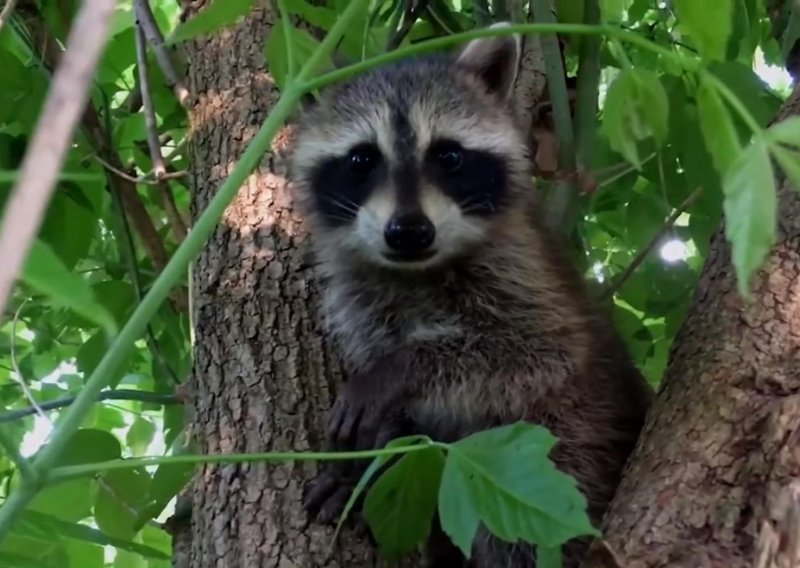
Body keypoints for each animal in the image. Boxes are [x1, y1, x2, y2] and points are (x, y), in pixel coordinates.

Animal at [284, 23, 652, 568]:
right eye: (361, 159)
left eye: (449, 156)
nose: (409, 231)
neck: (416, 272)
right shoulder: (363, 299)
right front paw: (375, 456)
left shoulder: (523, 273)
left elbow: (538, 353)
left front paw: (401, 369)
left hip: (578, 440)